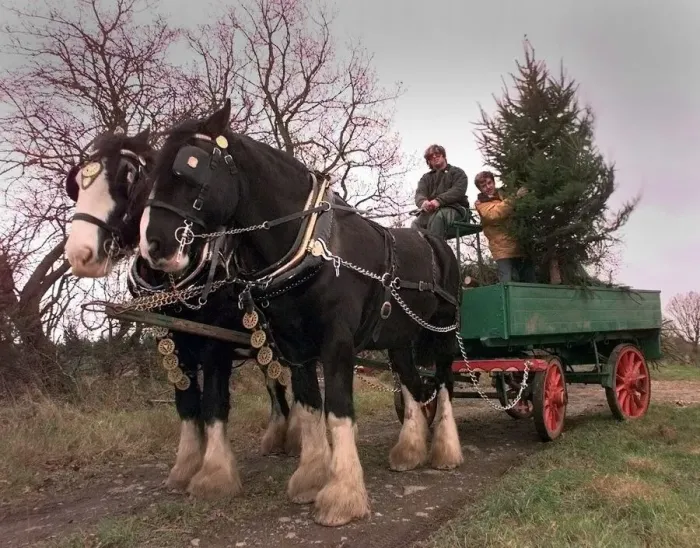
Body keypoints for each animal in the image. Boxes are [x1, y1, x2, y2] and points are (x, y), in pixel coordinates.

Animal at [63, 127, 301, 500]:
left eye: (127, 176)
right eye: (77, 184)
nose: (79, 254)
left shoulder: (215, 340)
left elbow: (214, 402)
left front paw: (215, 474)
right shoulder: (171, 337)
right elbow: (186, 403)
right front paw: (185, 466)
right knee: (274, 379)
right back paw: (279, 434)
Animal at [138, 99, 465, 527]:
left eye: (190, 167)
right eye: (151, 174)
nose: (154, 245)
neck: (312, 246)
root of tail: (439, 243)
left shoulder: (337, 343)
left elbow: (338, 410)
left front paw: (342, 496)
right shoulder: (294, 346)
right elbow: (310, 408)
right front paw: (311, 479)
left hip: (443, 331)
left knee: (442, 383)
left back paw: (445, 451)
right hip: (399, 339)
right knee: (412, 384)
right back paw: (409, 451)